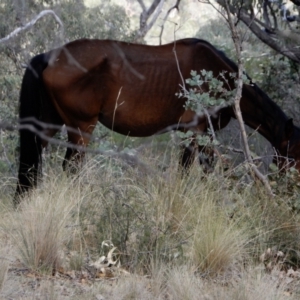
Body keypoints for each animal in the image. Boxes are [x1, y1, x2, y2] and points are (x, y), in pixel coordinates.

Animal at [15, 37, 300, 202]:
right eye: (293, 156)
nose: (290, 193)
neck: (219, 74)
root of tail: (50, 56)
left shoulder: (207, 134)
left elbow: (205, 171)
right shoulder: (193, 130)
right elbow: (188, 172)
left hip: (49, 126)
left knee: (33, 165)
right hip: (81, 129)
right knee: (71, 169)